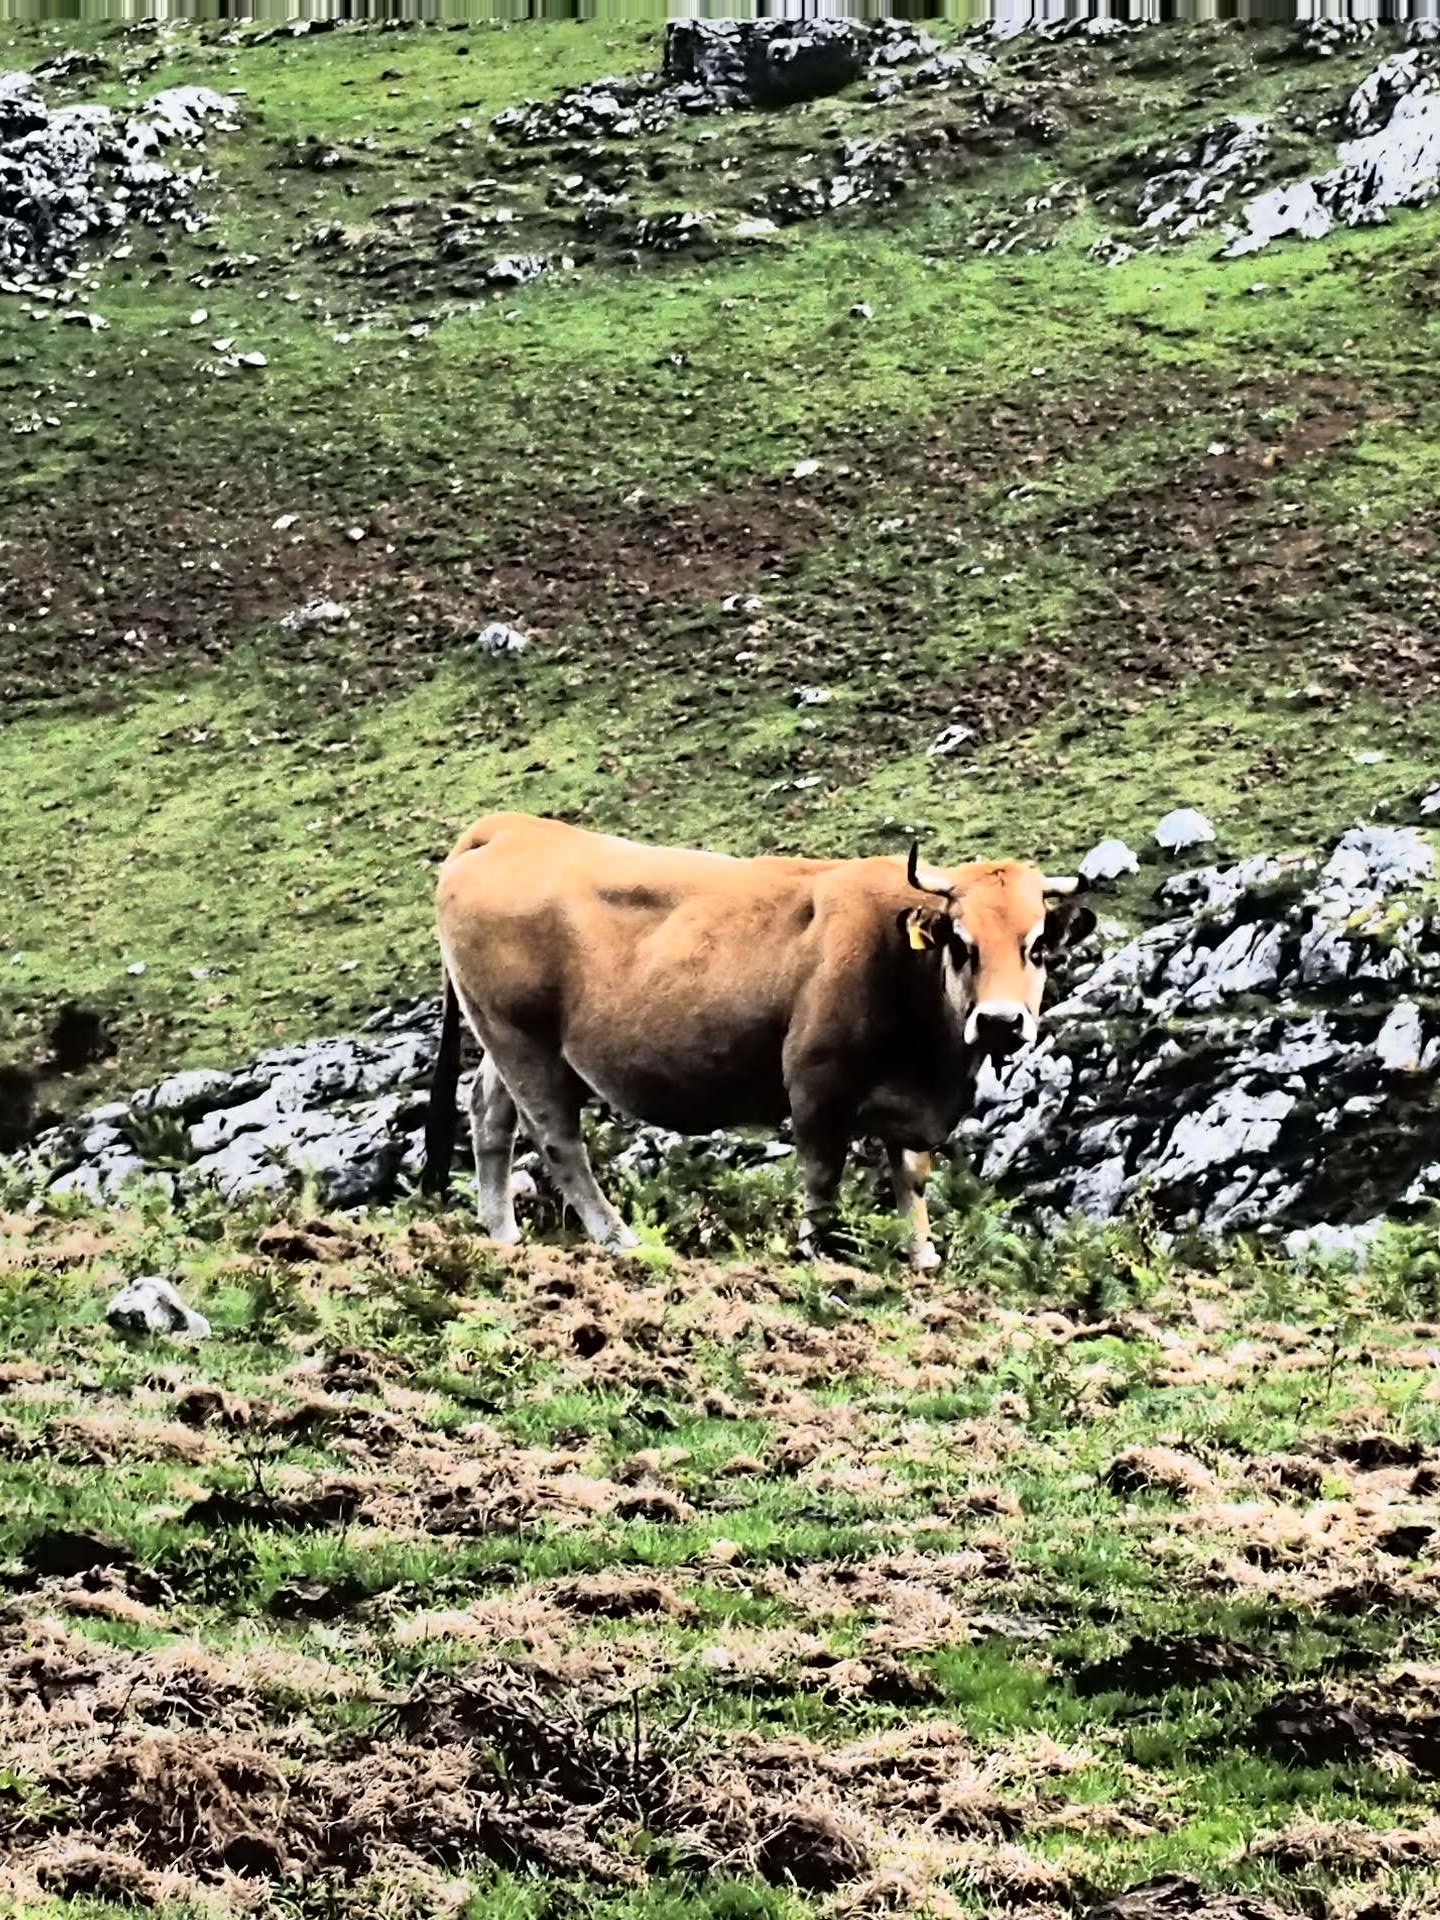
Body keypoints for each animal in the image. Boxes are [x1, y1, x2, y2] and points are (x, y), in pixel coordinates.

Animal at [422, 817, 1098, 1267]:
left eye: (1038, 945)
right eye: (961, 941)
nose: (1001, 1022)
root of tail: (511, 828)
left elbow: (912, 1177)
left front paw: (923, 1258)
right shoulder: (816, 1084)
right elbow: (822, 1180)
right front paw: (818, 1256)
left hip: (500, 1038)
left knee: (490, 1116)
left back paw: (504, 1236)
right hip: (524, 1041)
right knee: (558, 1140)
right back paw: (620, 1241)